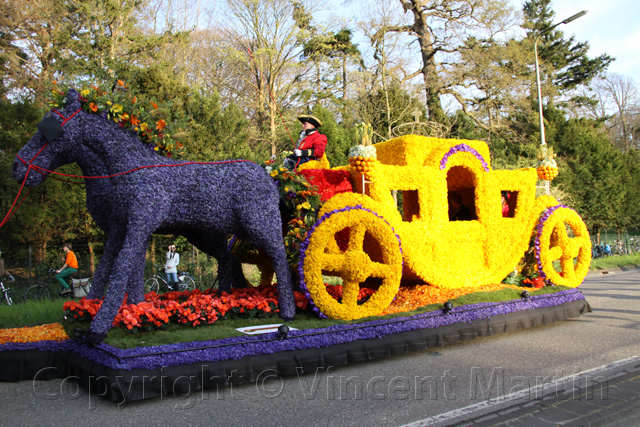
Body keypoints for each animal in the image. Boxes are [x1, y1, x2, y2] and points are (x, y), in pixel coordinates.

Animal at [12, 89, 296, 344]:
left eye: (50, 129)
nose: (18, 168)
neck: (127, 169)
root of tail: (270, 178)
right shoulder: (121, 227)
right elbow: (108, 268)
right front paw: (108, 309)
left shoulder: (139, 223)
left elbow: (120, 267)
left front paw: (98, 327)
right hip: (212, 234)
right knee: (230, 259)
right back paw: (225, 300)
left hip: (261, 225)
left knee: (278, 258)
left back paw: (287, 310)